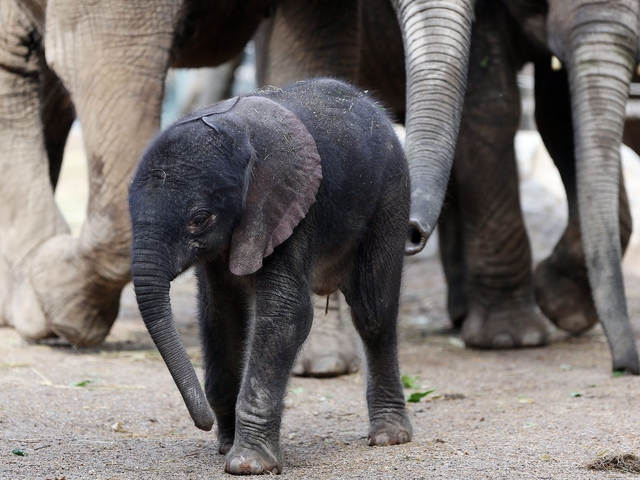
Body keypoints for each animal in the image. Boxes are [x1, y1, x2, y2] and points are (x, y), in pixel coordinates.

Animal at [129, 79, 410, 476]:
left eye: (199, 219)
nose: (204, 424)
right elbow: (220, 316)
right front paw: (226, 446)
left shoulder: (289, 208)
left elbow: (286, 314)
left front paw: (248, 464)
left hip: (391, 194)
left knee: (374, 312)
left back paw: (389, 437)